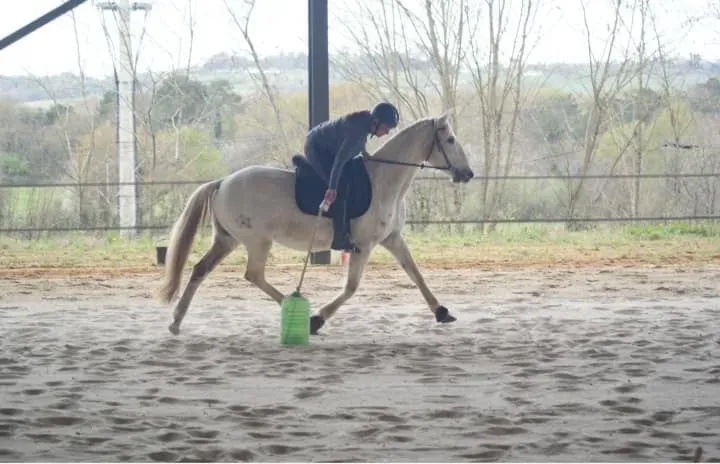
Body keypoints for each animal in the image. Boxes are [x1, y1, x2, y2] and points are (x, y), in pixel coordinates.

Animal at [153, 111, 475, 336]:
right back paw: (299, 313)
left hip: (227, 239)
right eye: (449, 140)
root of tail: (222, 182)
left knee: (200, 270)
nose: (468, 174)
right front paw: (318, 318)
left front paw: (442, 312)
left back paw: (176, 322)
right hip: (257, 241)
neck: (384, 180)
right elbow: (351, 287)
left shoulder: (392, 239)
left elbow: (415, 274)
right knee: (253, 274)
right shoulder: (364, 245)